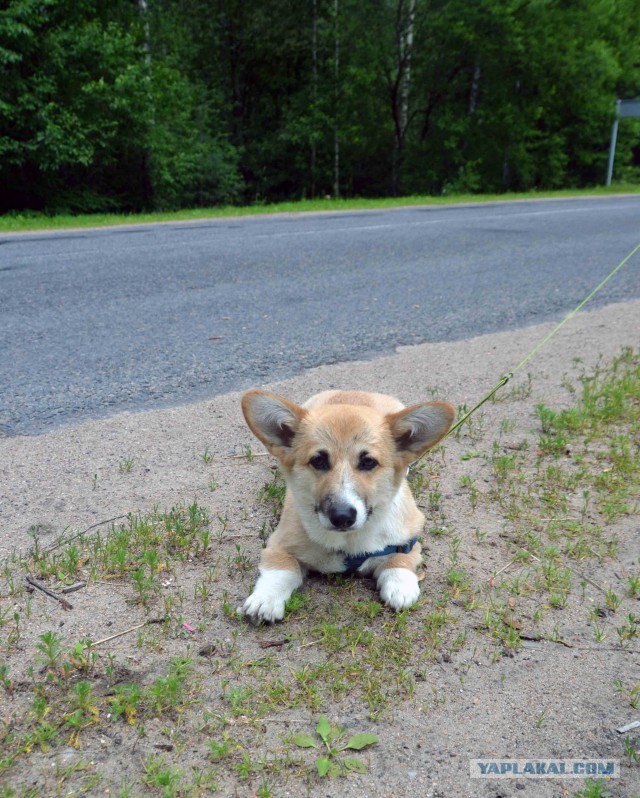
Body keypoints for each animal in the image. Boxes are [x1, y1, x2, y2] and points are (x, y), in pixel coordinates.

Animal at [240, 390, 456, 624]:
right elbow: (280, 569)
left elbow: (401, 558)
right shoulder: (279, 544)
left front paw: (400, 585)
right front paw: (265, 599)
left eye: (368, 462)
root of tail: (353, 392)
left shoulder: (408, 538)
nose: (342, 516)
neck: (348, 542)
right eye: (318, 461)